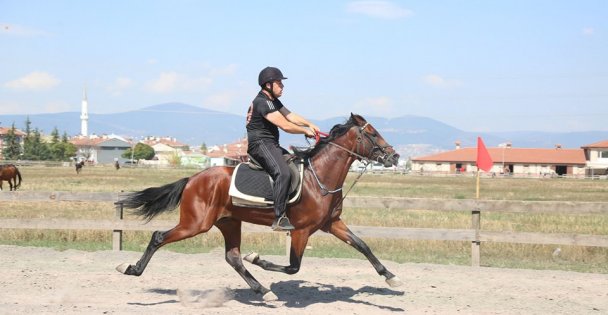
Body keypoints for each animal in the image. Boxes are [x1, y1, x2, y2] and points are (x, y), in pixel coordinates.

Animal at [117, 115, 404, 302]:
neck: (319, 178)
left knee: (232, 257)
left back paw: (263, 291)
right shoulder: (301, 230)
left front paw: (391, 277)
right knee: (159, 237)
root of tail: (193, 179)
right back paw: (131, 269)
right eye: (372, 133)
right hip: (195, 224)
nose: (394, 156)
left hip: (229, 222)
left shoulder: (331, 224)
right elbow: (293, 267)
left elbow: (362, 245)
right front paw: (257, 258)